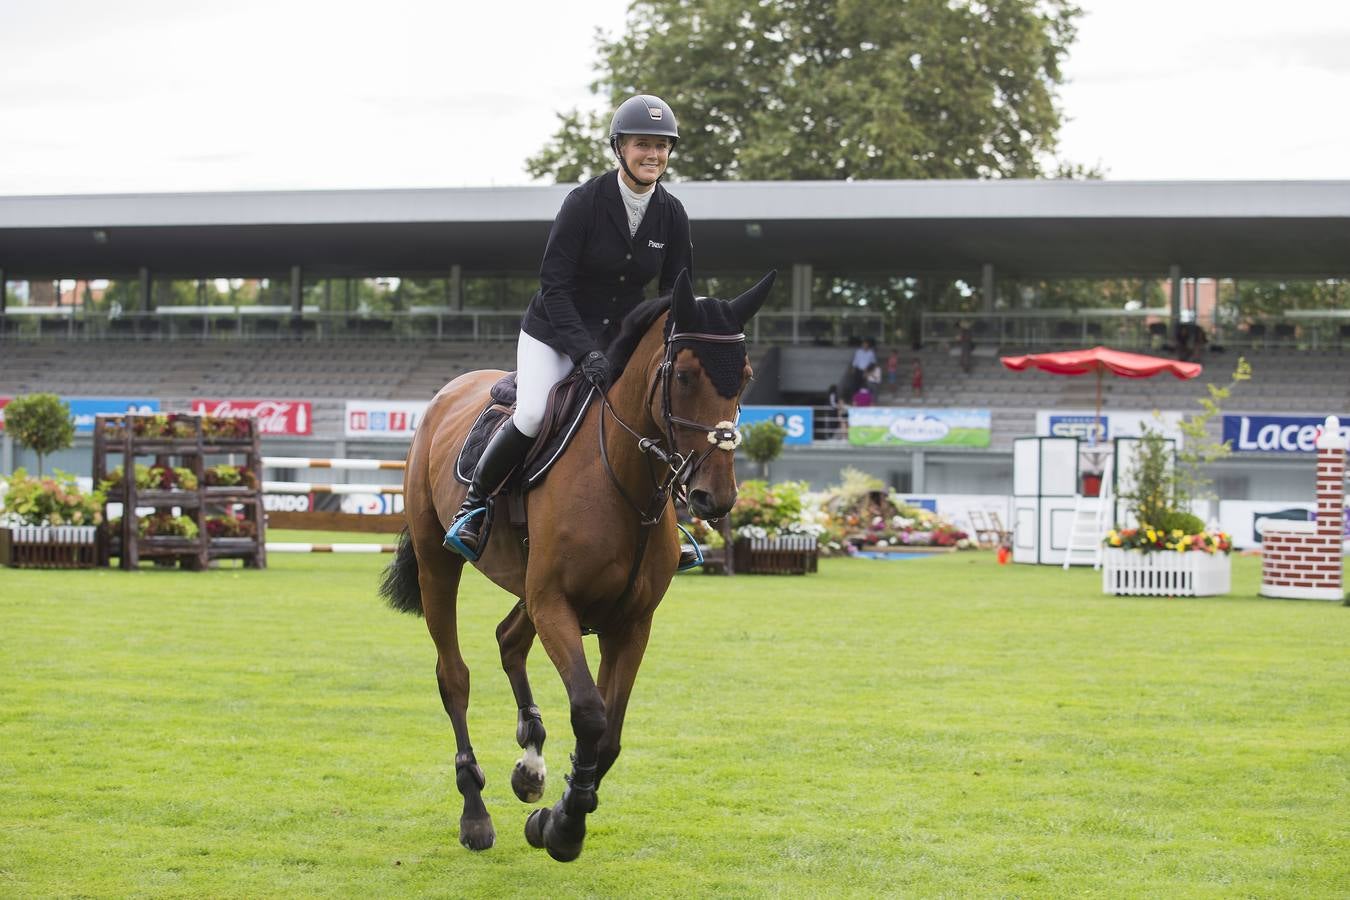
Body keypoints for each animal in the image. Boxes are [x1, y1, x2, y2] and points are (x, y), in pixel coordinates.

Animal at [380, 271, 777, 863]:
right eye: (684, 375)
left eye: (746, 377)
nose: (717, 497)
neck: (624, 482)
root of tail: (447, 393)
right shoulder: (555, 606)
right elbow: (589, 712)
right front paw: (563, 829)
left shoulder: (630, 623)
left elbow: (608, 735)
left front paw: (558, 810)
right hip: (438, 563)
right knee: (454, 677)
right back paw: (475, 812)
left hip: (525, 585)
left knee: (508, 640)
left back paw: (530, 765)